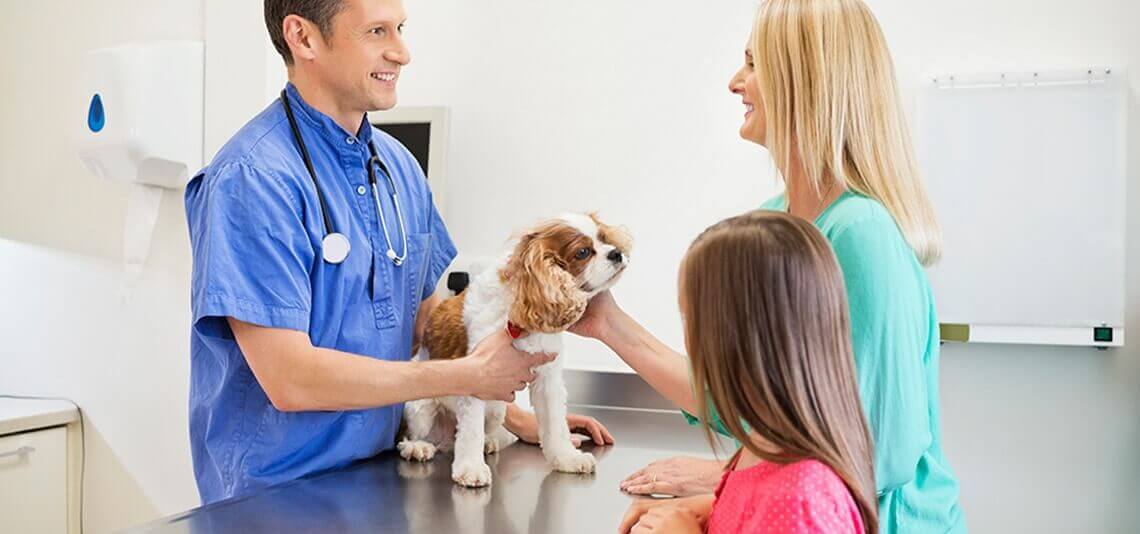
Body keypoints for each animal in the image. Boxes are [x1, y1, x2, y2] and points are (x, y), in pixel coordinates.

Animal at [399, 212, 633, 488]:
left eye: (604, 238)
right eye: (583, 252)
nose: (616, 253)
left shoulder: (548, 380)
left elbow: (556, 424)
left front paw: (567, 458)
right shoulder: (478, 376)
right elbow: (471, 431)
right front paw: (470, 469)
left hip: (496, 411)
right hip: (419, 408)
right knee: (413, 436)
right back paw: (417, 447)